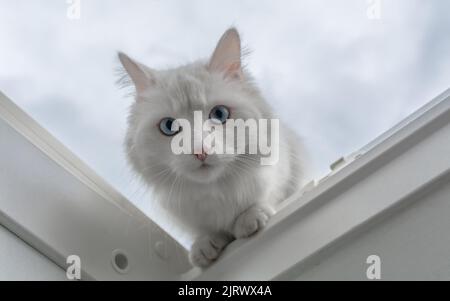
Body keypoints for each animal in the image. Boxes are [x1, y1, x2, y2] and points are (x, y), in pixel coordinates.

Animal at [118, 28, 306, 266]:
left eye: (220, 114)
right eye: (169, 126)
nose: (200, 151)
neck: (215, 191)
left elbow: (264, 198)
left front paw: (249, 218)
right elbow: (203, 230)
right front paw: (205, 245)